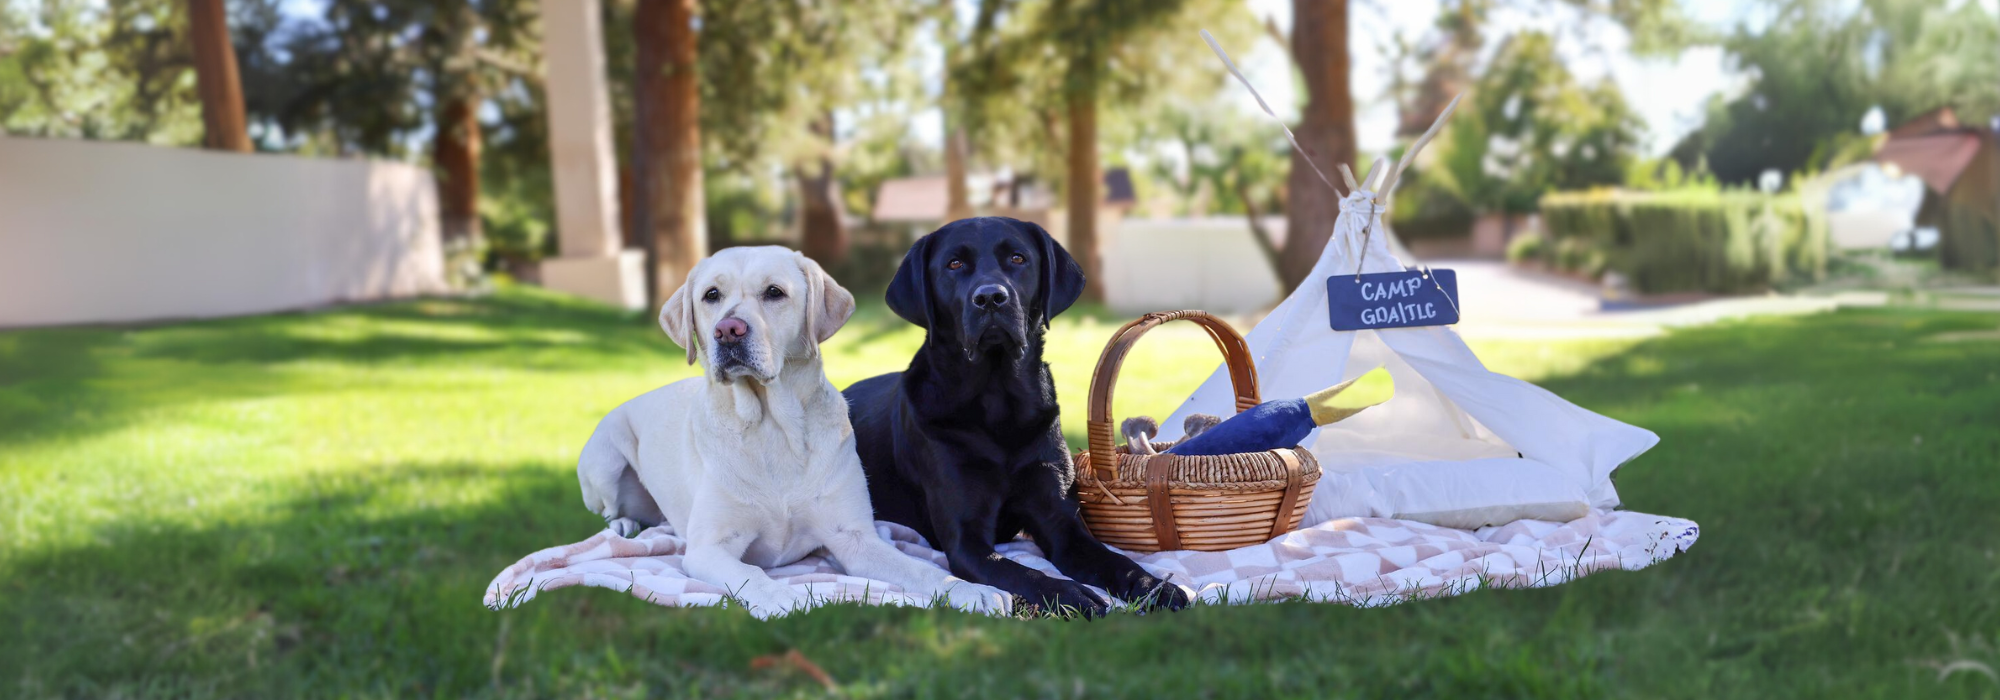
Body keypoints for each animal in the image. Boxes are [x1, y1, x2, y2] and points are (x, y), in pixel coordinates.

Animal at [580, 247, 1016, 616]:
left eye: (774, 292)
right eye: (711, 295)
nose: (728, 330)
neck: (773, 428)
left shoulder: (855, 539)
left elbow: (925, 570)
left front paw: (971, 590)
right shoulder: (709, 548)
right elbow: (751, 573)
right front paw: (780, 598)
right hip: (605, 461)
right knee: (611, 510)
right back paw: (622, 527)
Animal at [840, 217, 1184, 612]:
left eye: (1018, 258)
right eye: (954, 264)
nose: (991, 297)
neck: (997, 403)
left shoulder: (1061, 521)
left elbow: (1116, 561)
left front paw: (1155, 586)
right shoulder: (966, 540)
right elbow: (1022, 573)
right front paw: (1072, 595)